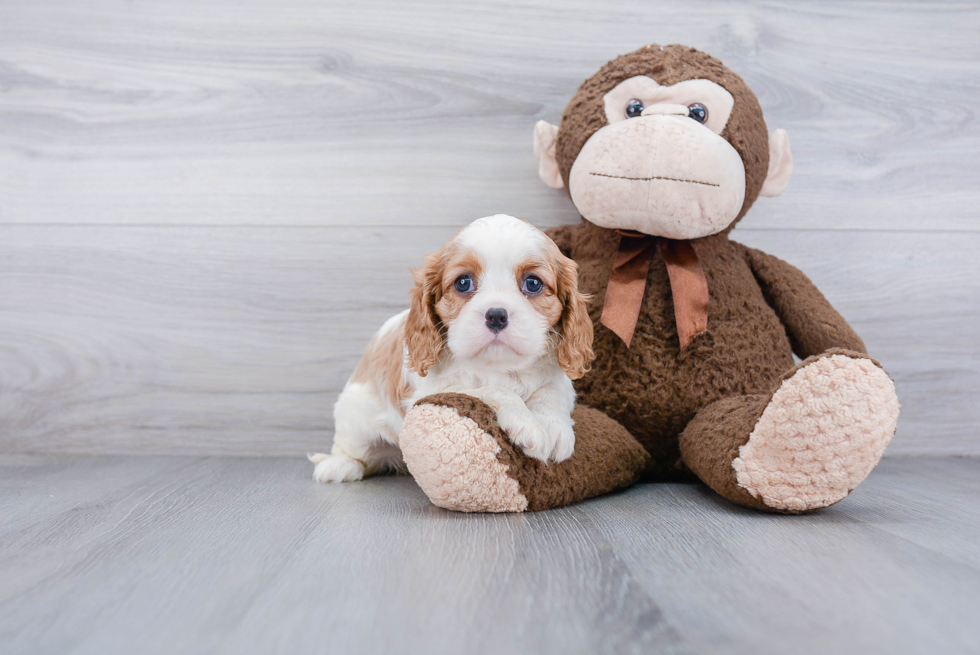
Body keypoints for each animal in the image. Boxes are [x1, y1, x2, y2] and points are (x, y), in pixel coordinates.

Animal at [310, 214, 592, 482]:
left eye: (533, 283)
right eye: (463, 282)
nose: (496, 315)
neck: (498, 366)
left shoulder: (558, 377)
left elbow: (552, 392)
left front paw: (555, 429)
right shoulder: (437, 390)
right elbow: (494, 390)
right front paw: (526, 423)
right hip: (354, 418)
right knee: (352, 451)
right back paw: (339, 466)